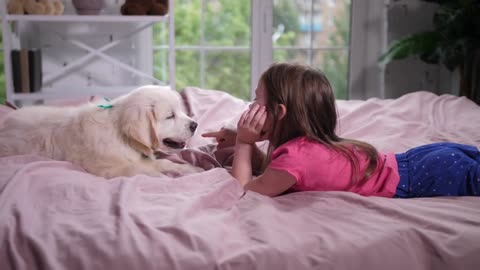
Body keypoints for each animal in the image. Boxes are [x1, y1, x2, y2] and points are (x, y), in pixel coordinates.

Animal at [0, 85, 204, 178]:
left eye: (180, 110)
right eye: (170, 116)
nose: (195, 125)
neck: (121, 136)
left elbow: (165, 163)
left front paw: (192, 169)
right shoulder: (108, 168)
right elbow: (142, 170)